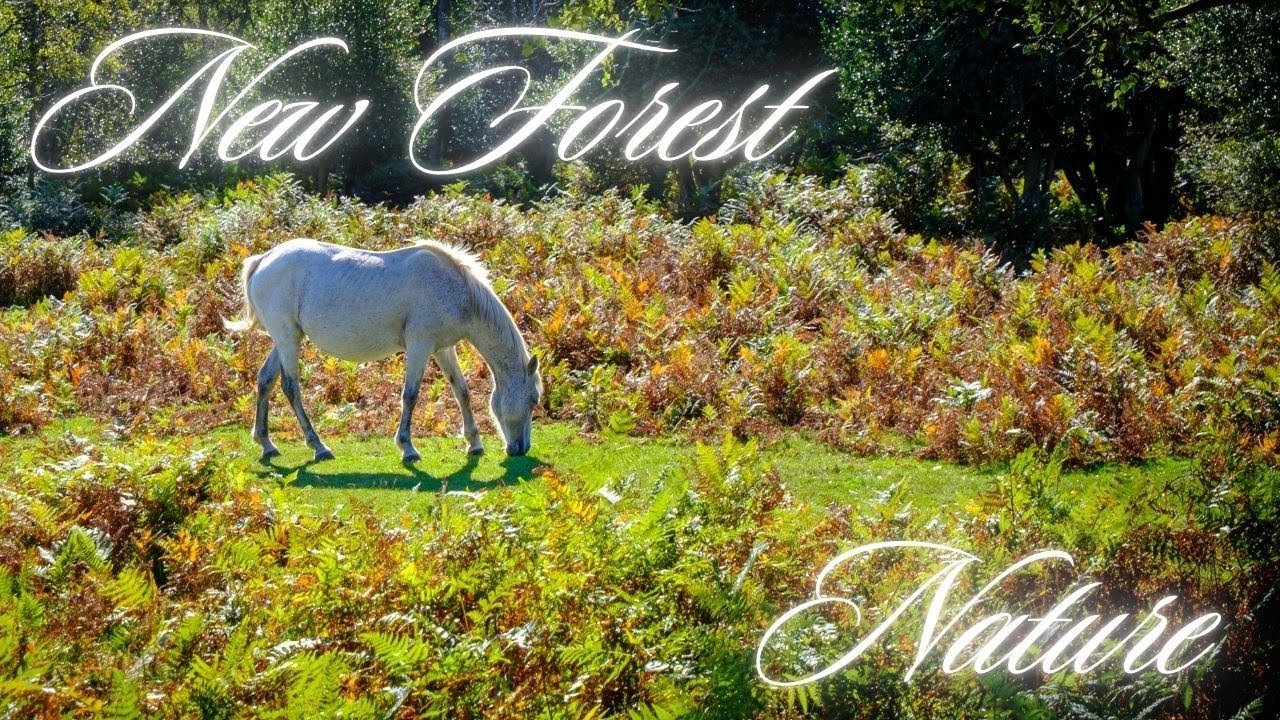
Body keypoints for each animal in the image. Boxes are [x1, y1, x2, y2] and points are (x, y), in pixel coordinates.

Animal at [223, 238, 542, 461]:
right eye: (534, 399)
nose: (521, 448)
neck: (454, 288)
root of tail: (263, 260)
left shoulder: (443, 348)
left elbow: (461, 390)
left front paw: (474, 443)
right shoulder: (419, 347)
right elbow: (410, 396)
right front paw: (407, 448)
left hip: (285, 339)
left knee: (265, 380)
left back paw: (266, 444)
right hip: (288, 338)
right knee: (291, 387)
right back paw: (318, 446)